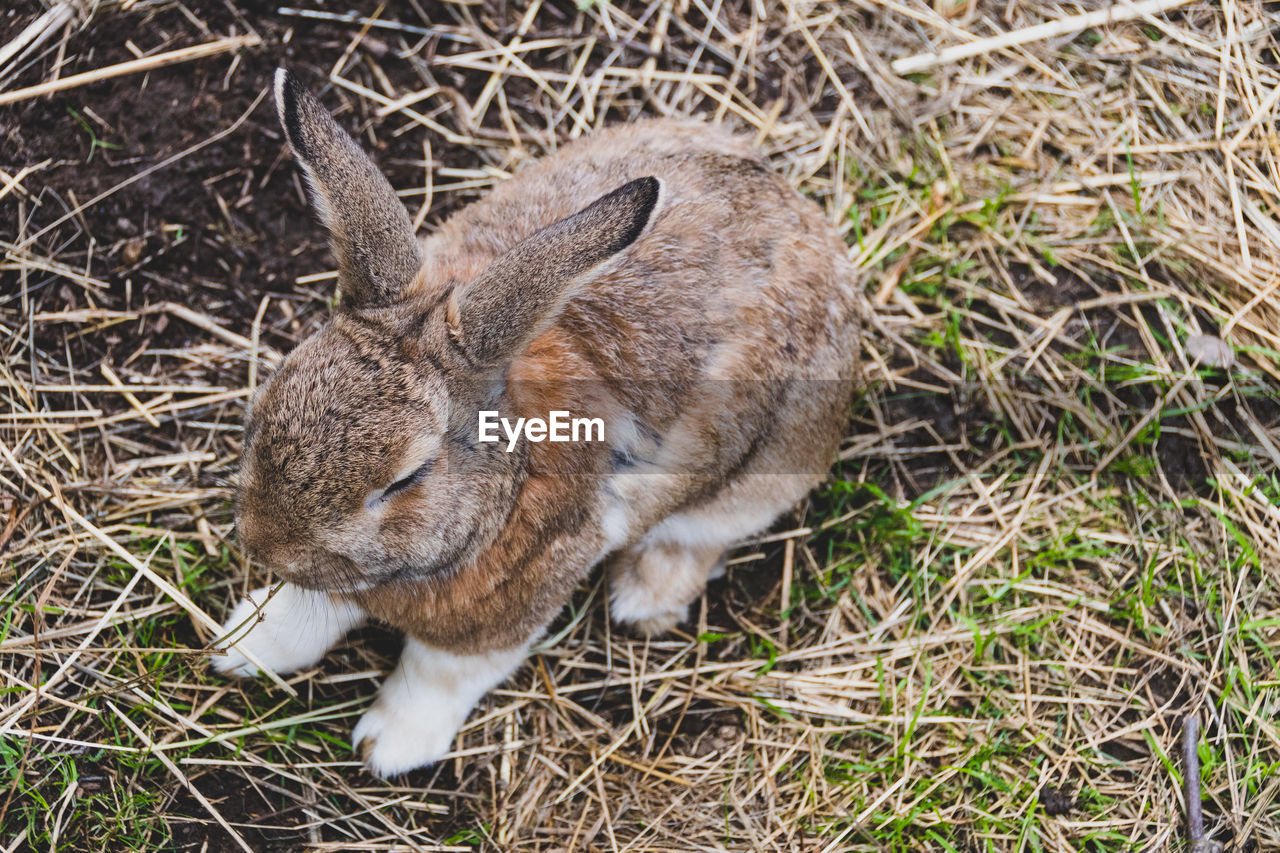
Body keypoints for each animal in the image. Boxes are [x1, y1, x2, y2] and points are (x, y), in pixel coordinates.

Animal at [212, 69, 860, 773]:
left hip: (766, 470)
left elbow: (440, 674)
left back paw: (643, 600)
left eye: (406, 479)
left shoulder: (508, 612)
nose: (262, 545)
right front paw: (242, 648)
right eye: (272, 392)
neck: (510, 472)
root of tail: (806, 220)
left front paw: (389, 747)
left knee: (700, 534)